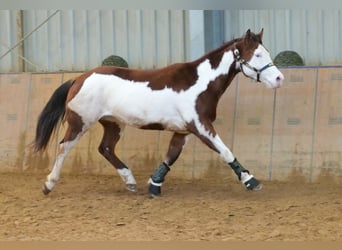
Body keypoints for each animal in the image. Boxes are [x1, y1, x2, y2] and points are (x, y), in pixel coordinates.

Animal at [33, 29, 284, 197]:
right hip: (80, 123)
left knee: (105, 148)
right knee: (64, 147)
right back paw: (48, 184)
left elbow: (171, 155)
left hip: (113, 123)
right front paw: (251, 181)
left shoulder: (184, 130)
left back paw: (130, 181)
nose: (279, 78)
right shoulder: (200, 126)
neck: (200, 82)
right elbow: (225, 151)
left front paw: (154, 185)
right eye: (258, 55)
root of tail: (79, 78)